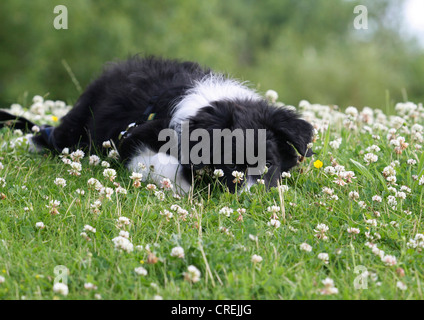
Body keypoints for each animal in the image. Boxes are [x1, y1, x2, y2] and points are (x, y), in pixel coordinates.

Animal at [2, 56, 314, 194]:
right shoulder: (133, 140)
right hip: (76, 128)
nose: (253, 198)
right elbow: (165, 165)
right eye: (229, 166)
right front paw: (187, 186)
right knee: (49, 137)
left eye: (269, 163)